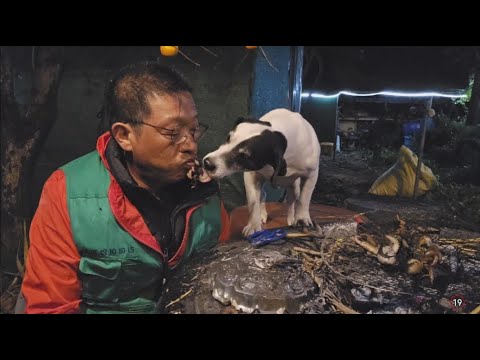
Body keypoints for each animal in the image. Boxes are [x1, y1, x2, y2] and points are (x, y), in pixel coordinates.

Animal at [201, 107, 320, 236]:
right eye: (228, 138)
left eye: (244, 156)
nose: (207, 163)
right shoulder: (251, 176)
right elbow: (253, 203)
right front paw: (253, 224)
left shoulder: (312, 174)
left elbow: (304, 199)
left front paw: (302, 218)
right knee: (263, 195)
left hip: (294, 187)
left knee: (292, 201)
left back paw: (291, 218)